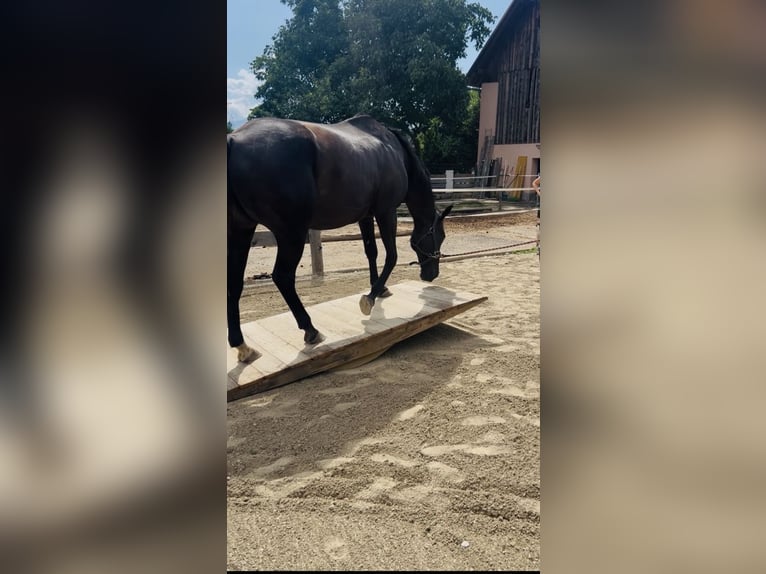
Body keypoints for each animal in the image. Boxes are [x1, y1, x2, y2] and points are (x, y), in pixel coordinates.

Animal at [227, 114, 452, 363]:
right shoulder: (386, 211)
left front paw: (380, 288)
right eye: (440, 236)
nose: (431, 274)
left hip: (242, 231)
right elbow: (391, 255)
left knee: (234, 284)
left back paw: (242, 346)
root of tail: (234, 140)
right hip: (291, 234)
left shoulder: (366, 216)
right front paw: (370, 298)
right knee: (282, 277)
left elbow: (371, 252)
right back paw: (311, 330)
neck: (395, 151)